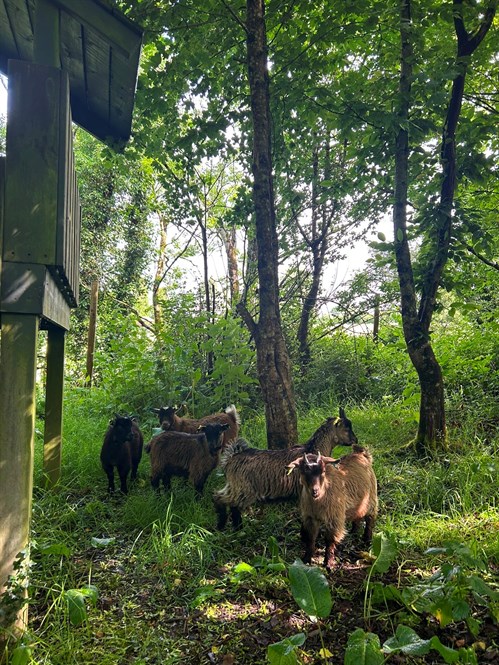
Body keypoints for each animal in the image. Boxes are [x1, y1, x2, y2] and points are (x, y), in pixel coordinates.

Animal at [213, 407, 358, 530]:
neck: (313, 449)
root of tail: (231, 458)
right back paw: (222, 526)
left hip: (235, 487)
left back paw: (237, 527)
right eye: (346, 428)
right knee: (220, 499)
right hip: (243, 489)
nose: (355, 440)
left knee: (227, 501)